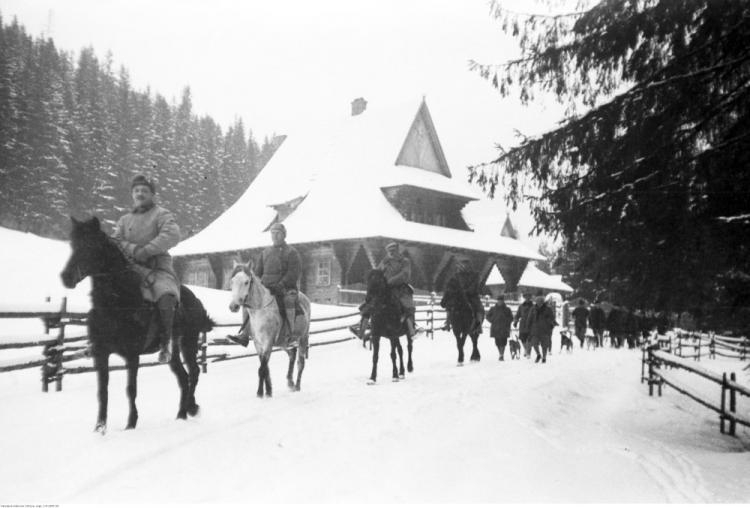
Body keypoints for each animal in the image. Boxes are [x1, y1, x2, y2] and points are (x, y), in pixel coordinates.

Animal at [60, 216, 214, 434]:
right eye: (73, 245)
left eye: (90, 245)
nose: (66, 277)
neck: (117, 302)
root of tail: (197, 302)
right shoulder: (101, 353)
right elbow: (103, 391)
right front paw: (100, 428)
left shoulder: (132, 355)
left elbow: (131, 389)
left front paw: (131, 424)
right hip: (173, 351)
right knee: (183, 377)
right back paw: (181, 414)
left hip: (189, 343)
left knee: (194, 372)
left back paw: (191, 408)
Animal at [229, 262, 312, 396]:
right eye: (232, 281)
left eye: (246, 282)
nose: (234, 306)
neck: (260, 311)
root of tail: (306, 299)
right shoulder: (258, 344)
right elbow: (265, 367)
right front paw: (268, 391)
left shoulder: (268, 343)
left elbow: (262, 368)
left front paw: (261, 393)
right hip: (282, 342)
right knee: (292, 354)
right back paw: (290, 382)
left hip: (303, 338)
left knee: (301, 362)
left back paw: (297, 386)